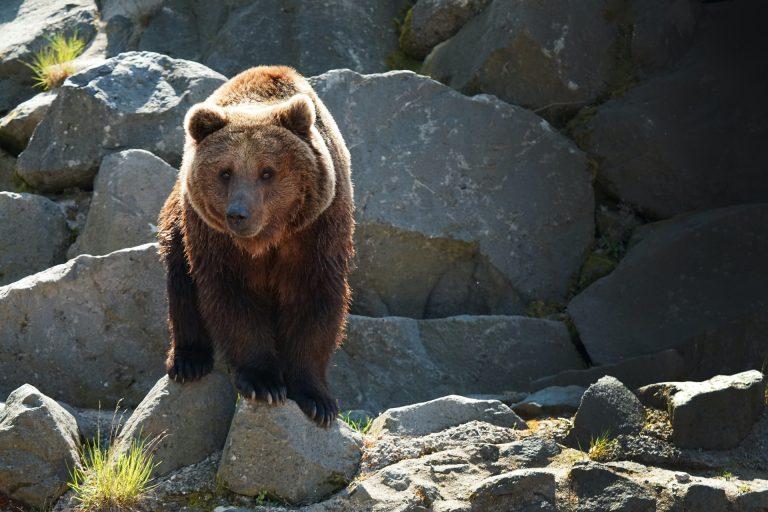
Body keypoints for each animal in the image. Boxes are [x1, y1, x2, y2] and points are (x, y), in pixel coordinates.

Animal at [157, 68, 354, 428]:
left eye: (267, 171)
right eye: (225, 172)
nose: (238, 213)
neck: (266, 239)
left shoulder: (317, 233)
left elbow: (315, 302)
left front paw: (318, 400)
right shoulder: (217, 242)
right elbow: (233, 299)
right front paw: (264, 383)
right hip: (180, 221)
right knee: (180, 280)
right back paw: (189, 360)